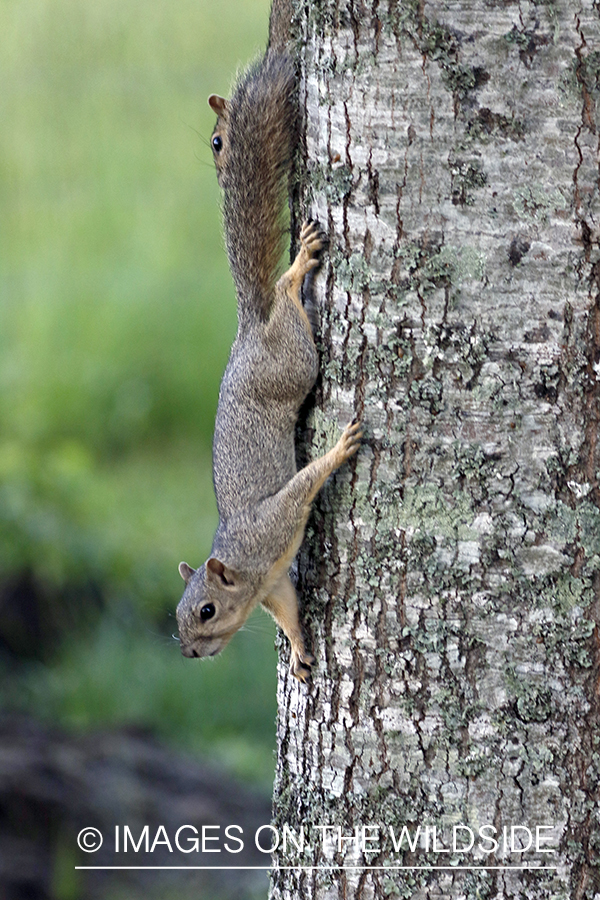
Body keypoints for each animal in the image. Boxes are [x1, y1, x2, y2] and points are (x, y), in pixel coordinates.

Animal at [173, 49, 360, 684]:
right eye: (178, 616)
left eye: (207, 610)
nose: (188, 652)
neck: (247, 573)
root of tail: (251, 326)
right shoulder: (275, 585)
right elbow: (290, 614)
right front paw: (301, 651)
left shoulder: (275, 526)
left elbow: (305, 483)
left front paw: (340, 449)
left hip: (293, 364)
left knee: (283, 293)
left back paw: (298, 266)